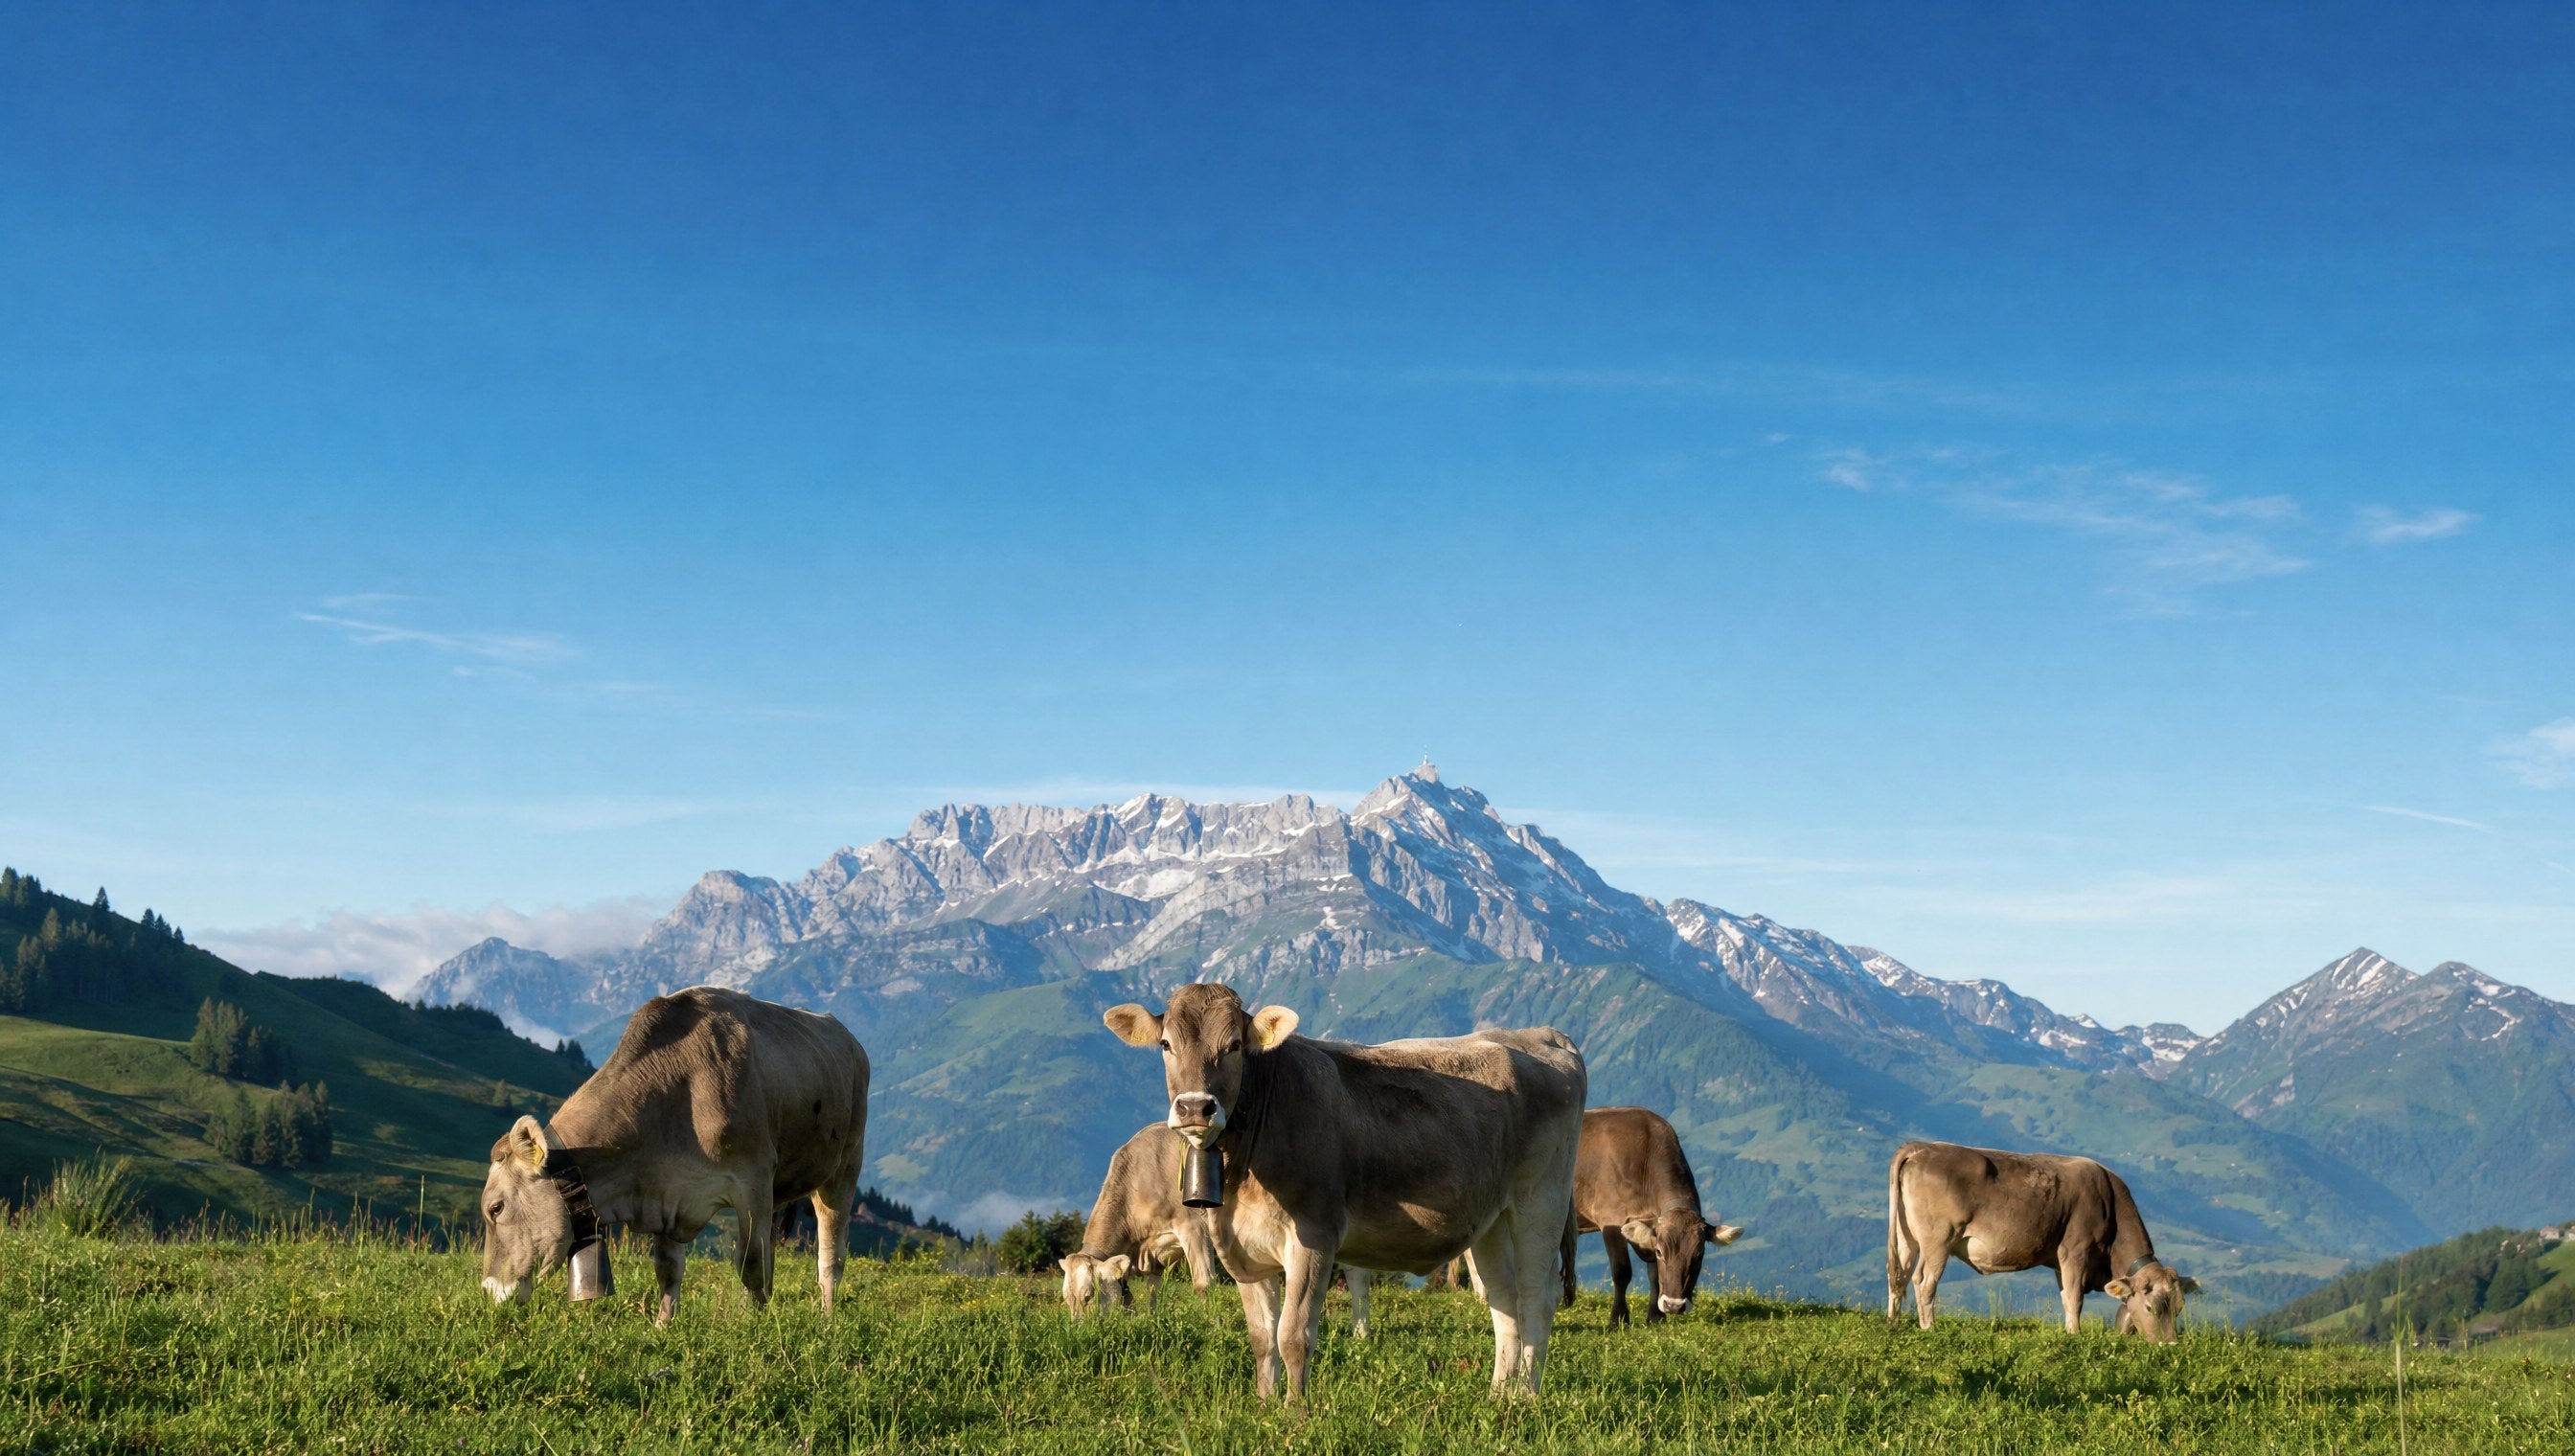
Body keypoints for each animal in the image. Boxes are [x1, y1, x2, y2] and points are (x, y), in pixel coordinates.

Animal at [479, 986, 870, 1324]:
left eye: (496, 1208)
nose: (488, 1290)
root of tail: (849, 1037)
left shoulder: (753, 1179)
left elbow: (752, 1264)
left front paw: (756, 1329)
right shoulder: (665, 1193)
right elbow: (668, 1270)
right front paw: (663, 1327)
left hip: (845, 1167)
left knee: (830, 1254)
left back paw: (827, 1318)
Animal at [1061, 1122, 1221, 1316]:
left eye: (1088, 1296)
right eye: (1066, 1300)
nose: (1079, 1325)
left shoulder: (1195, 1226)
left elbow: (1204, 1284)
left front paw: (1213, 1324)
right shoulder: (1157, 1252)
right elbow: (1153, 1289)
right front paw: (1154, 1318)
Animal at [1102, 982, 1585, 1399]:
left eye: (1235, 1046)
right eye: (1166, 1045)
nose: (1195, 1107)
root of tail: (1545, 1035)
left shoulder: (1314, 1235)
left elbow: (1293, 1335)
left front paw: (1295, 1414)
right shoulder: (1242, 1248)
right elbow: (1261, 1337)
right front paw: (1264, 1405)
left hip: (1540, 1202)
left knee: (1536, 1299)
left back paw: (1526, 1398)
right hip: (1491, 1219)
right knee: (1504, 1303)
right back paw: (1498, 1395)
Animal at [1575, 1106, 1743, 1327]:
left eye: (1699, 1256)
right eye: (1662, 1252)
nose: (1674, 1305)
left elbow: (1654, 1275)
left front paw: (1656, 1317)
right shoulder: (1610, 1219)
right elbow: (1621, 1271)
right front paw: (1618, 1319)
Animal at [1886, 1140, 2200, 1341]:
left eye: (2179, 1308)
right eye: (2150, 1308)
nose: (2170, 1344)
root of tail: (1920, 1146)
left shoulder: (2062, 1262)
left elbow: (2065, 1296)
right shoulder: (2075, 1251)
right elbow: (2074, 1298)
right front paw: (2075, 1335)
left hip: (1906, 1237)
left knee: (1898, 1275)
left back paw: (1894, 1323)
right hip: (1938, 1239)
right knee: (1923, 1280)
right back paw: (1929, 1328)